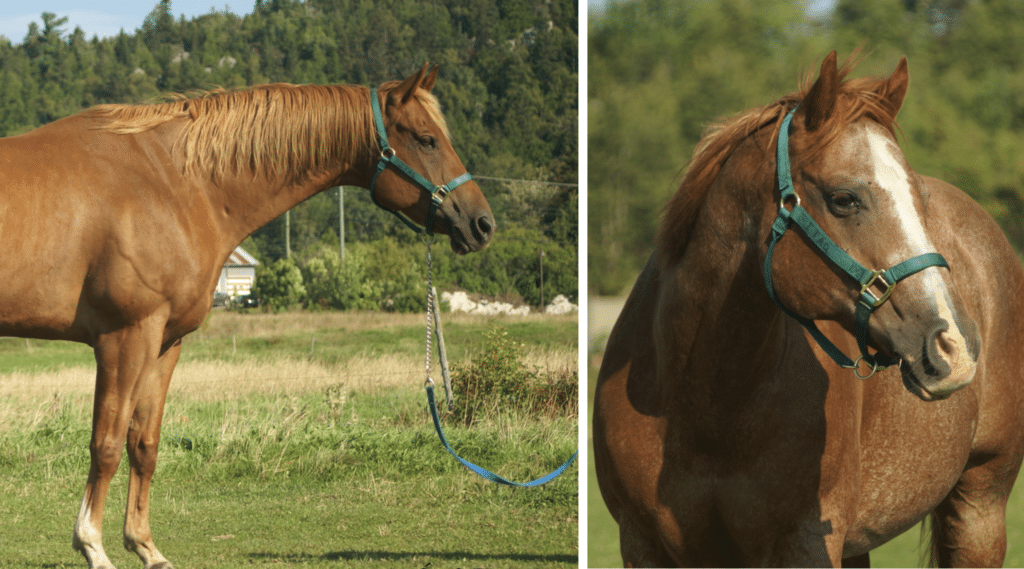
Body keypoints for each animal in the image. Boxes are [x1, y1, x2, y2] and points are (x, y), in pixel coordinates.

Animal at [0, 64, 493, 564]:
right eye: (427, 139)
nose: (482, 223)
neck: (172, 183)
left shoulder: (164, 343)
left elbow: (144, 444)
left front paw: (145, 547)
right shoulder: (126, 337)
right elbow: (107, 444)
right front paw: (93, 547)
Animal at [589, 51, 1024, 564]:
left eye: (919, 198)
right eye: (844, 199)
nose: (954, 344)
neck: (705, 406)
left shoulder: (806, 543)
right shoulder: (641, 542)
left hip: (981, 505)